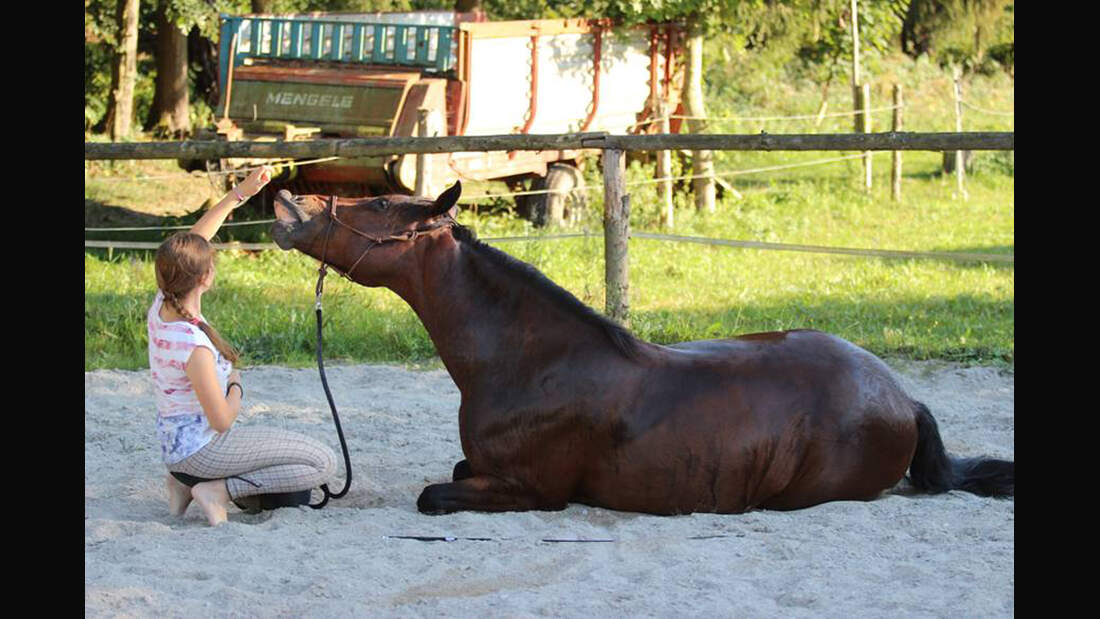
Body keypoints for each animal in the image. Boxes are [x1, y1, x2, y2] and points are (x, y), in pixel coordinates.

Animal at [272, 181, 1012, 516]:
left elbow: (433, 494)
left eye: (378, 205)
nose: (290, 202)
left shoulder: (535, 491)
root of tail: (903, 397)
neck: (530, 361)